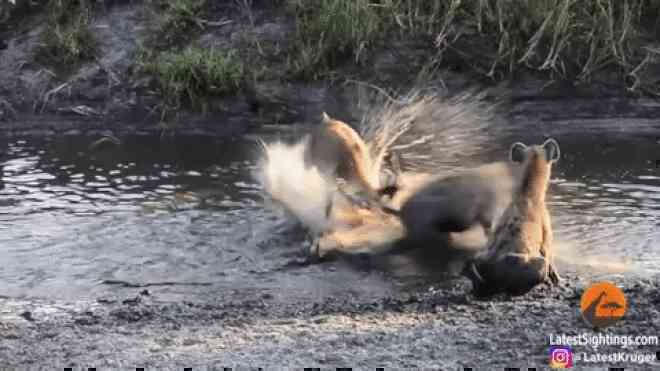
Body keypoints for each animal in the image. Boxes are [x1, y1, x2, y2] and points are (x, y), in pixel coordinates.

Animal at [464, 138, 564, 298]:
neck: (528, 194)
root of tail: (487, 275)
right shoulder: (547, 236)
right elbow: (551, 260)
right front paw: (557, 280)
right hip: (533, 262)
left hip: (479, 256)